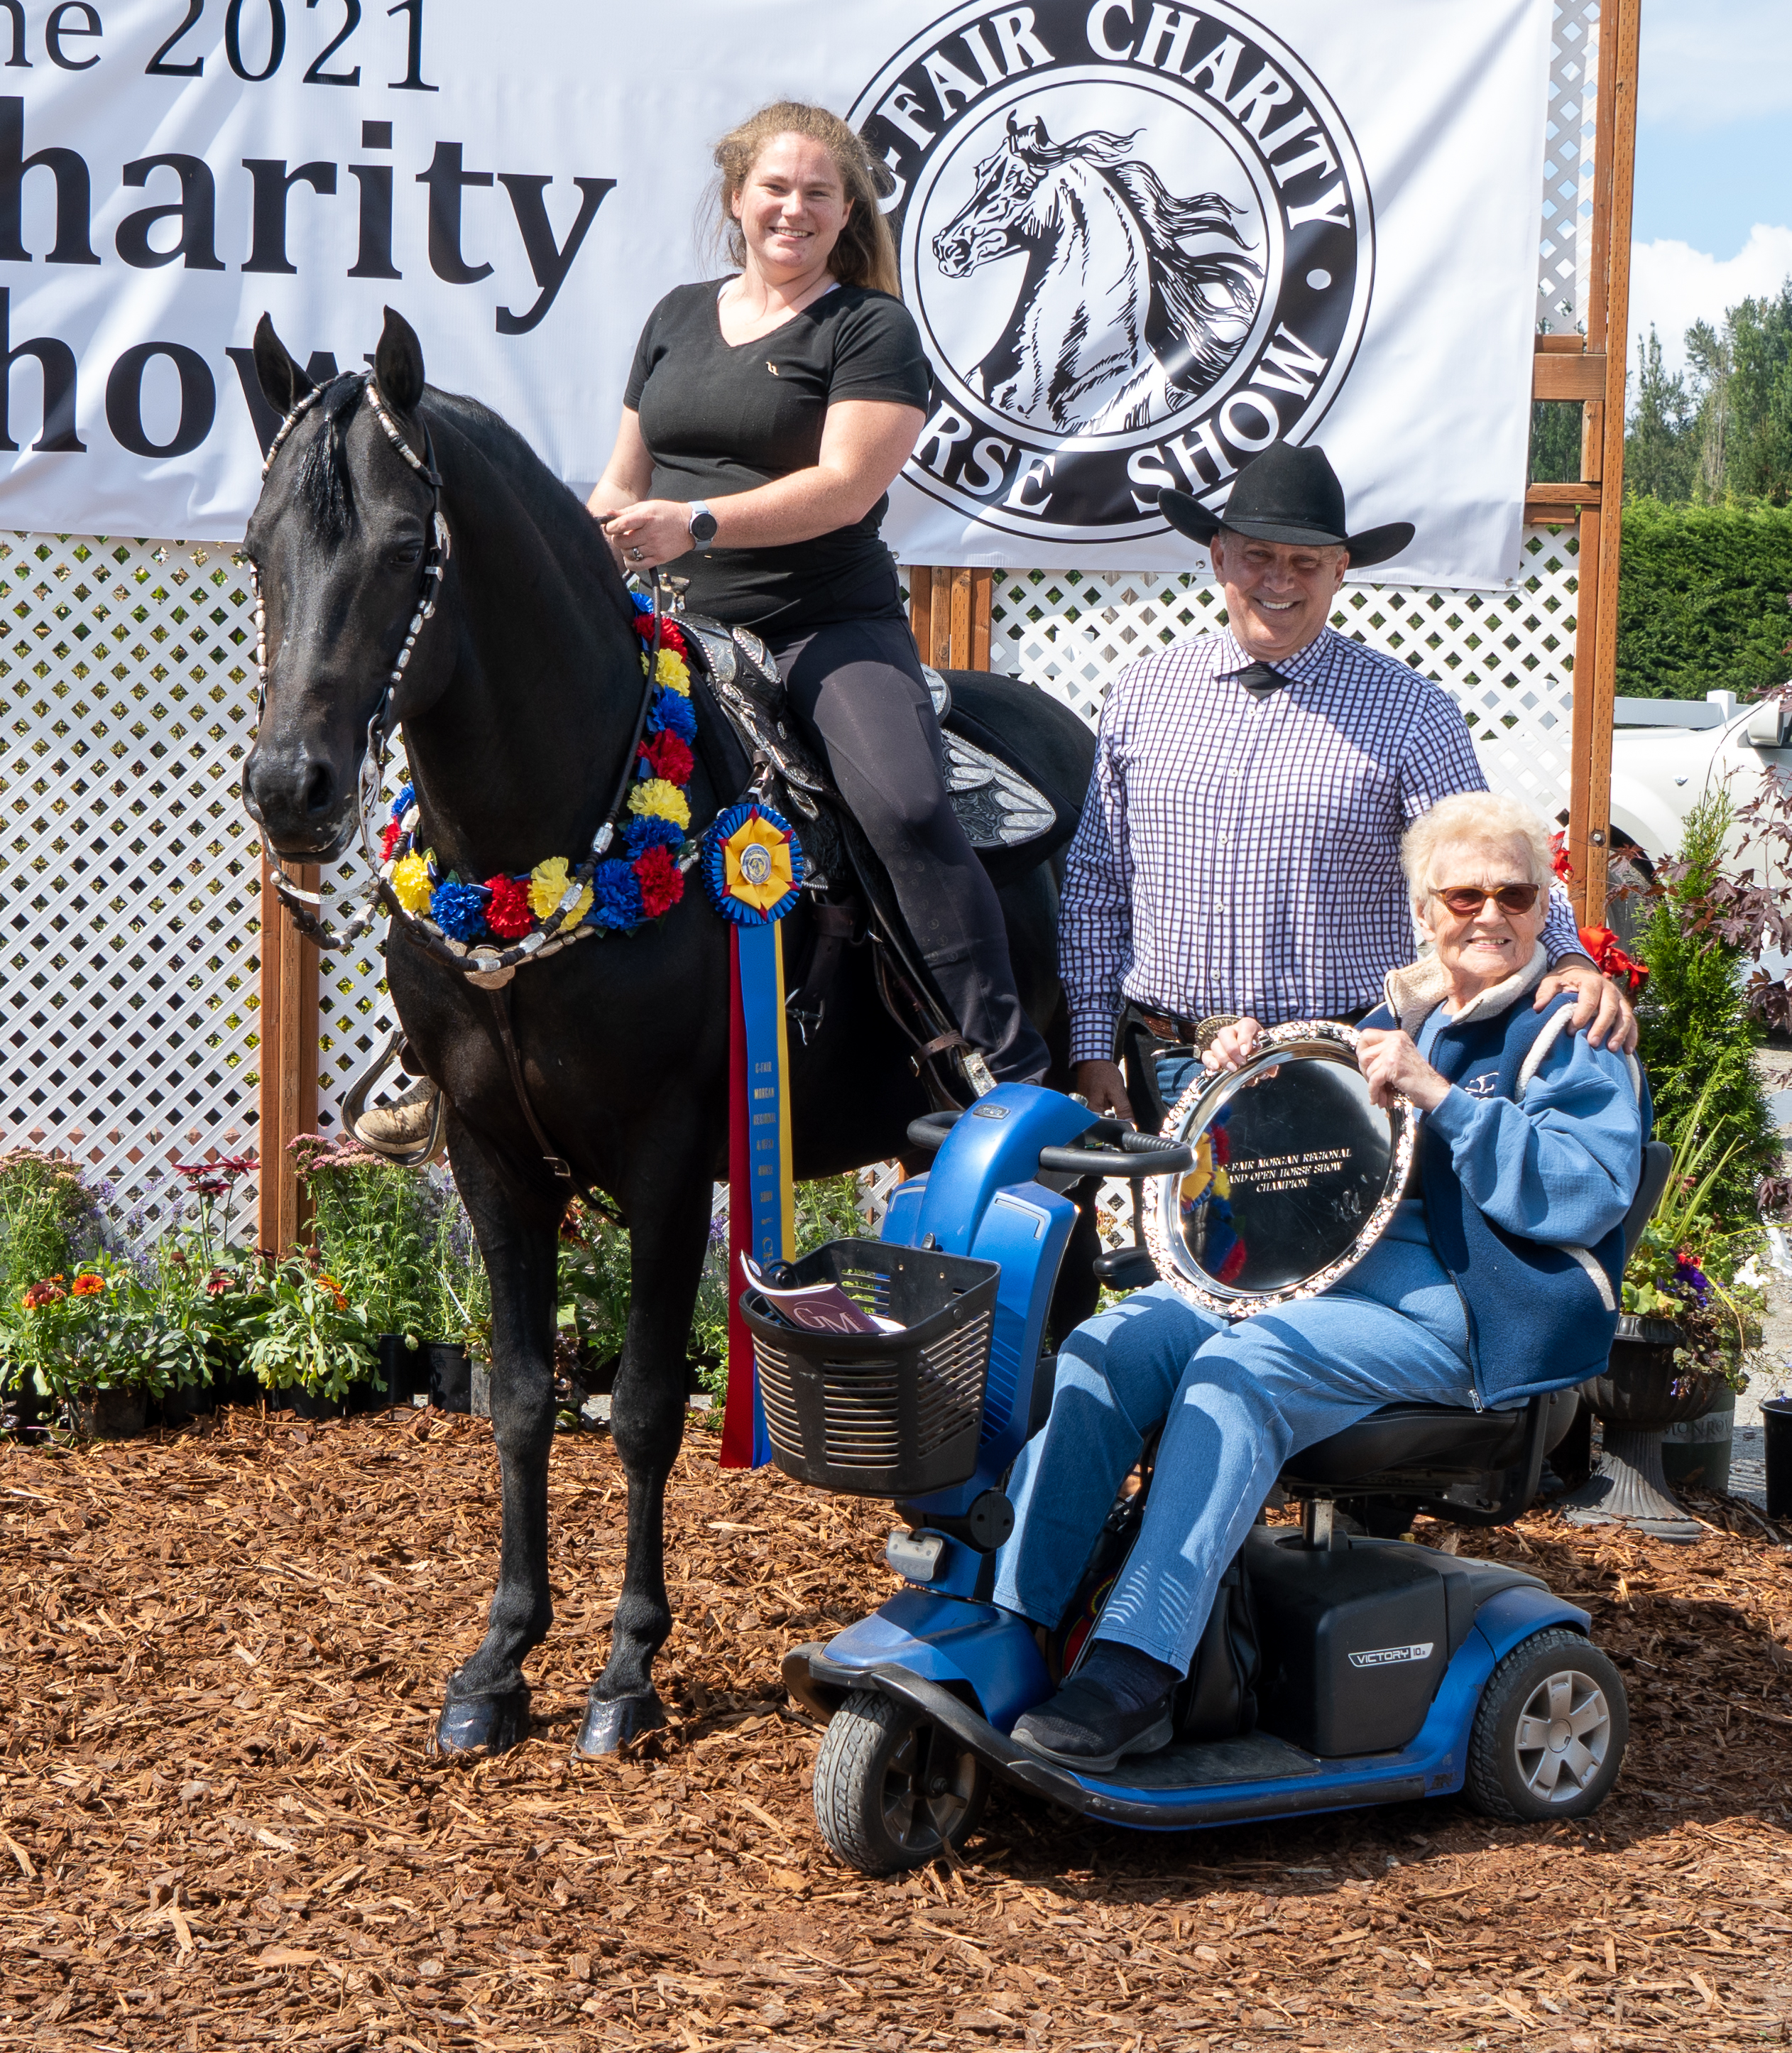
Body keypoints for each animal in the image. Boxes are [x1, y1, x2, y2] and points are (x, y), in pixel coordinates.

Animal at [244, 312, 1100, 1757]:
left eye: (407, 549)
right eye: (258, 547)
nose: (290, 786)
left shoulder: (661, 1161)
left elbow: (645, 1406)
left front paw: (626, 1670)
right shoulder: (490, 1156)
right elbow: (523, 1397)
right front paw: (499, 1661)